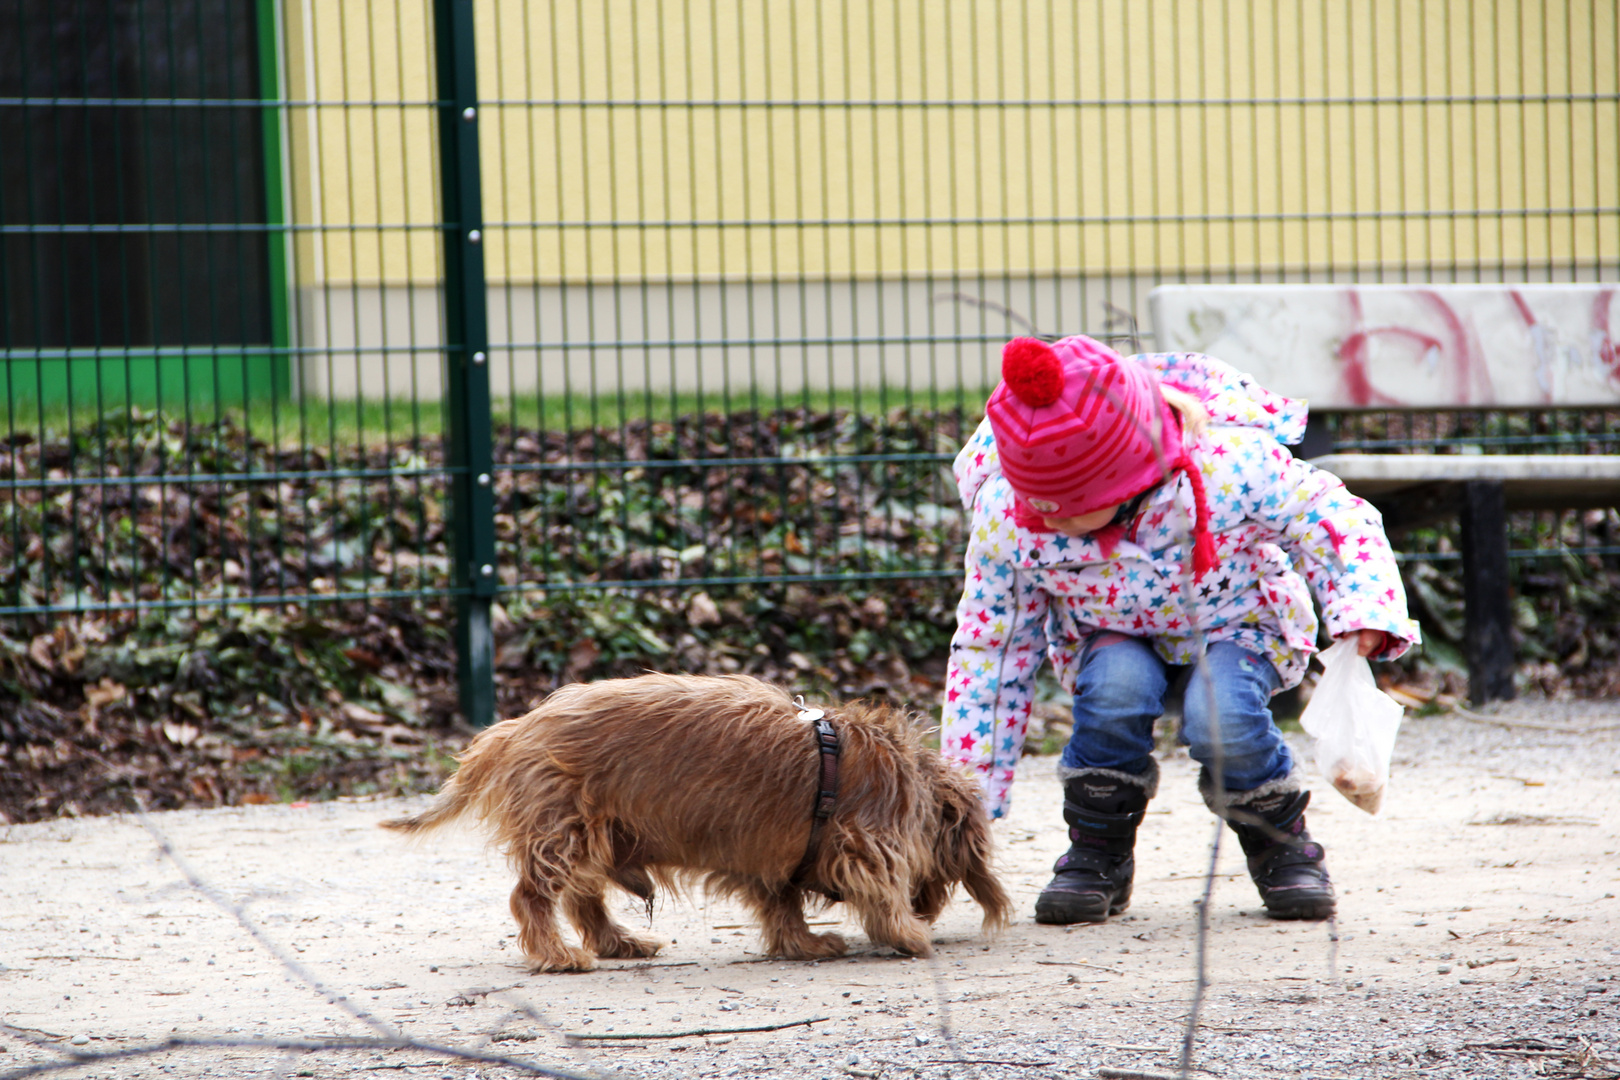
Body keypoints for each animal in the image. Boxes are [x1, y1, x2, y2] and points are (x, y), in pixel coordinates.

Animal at [383, 676, 1004, 971]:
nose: (930, 906)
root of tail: (517, 727)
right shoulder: (865, 845)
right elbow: (881, 894)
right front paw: (910, 933)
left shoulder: (770, 857)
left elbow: (784, 908)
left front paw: (803, 944)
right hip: (564, 833)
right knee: (531, 897)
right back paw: (558, 955)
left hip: (594, 835)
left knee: (584, 901)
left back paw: (620, 941)